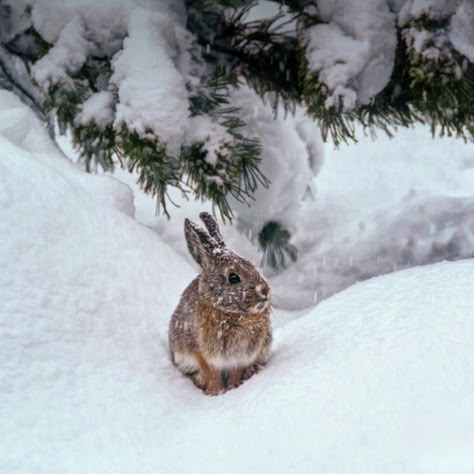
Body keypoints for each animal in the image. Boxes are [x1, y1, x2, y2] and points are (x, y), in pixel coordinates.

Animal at [168, 213, 272, 394]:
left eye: (252, 266)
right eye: (233, 277)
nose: (265, 290)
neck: (233, 313)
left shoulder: (242, 357)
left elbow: (235, 373)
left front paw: (233, 387)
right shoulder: (205, 354)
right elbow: (212, 374)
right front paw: (216, 392)